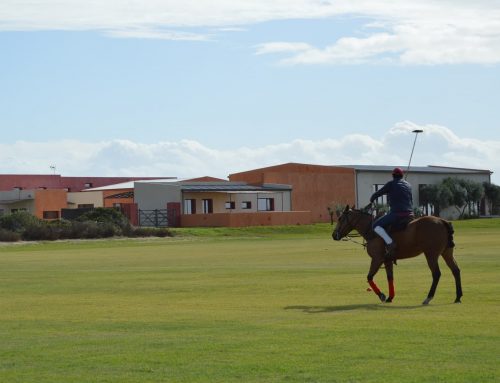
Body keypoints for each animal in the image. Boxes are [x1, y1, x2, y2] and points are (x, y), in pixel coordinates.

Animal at [332, 206, 460, 308]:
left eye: (340, 218)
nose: (334, 235)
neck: (371, 230)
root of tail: (442, 221)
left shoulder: (377, 259)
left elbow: (369, 277)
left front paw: (382, 295)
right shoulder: (387, 260)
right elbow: (390, 278)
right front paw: (390, 297)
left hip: (431, 254)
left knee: (436, 274)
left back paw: (428, 298)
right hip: (446, 252)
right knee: (455, 270)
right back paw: (458, 297)